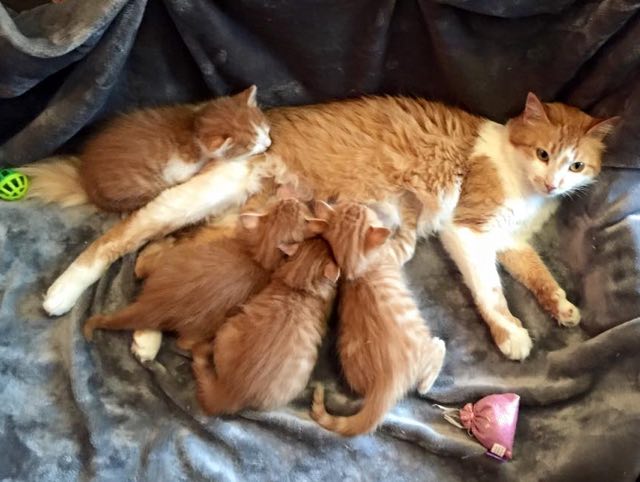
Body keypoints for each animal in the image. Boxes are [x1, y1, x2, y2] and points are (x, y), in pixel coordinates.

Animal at [23, 85, 270, 212]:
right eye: (251, 144)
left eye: (265, 129)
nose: (268, 144)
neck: (193, 123)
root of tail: (86, 179)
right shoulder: (180, 166)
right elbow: (190, 171)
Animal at [308, 200, 445, 436]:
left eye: (351, 204)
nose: (360, 202)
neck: (355, 270)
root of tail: (386, 384)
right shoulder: (396, 251)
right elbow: (409, 236)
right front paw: (412, 211)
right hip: (423, 344)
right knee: (428, 371)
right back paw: (436, 354)